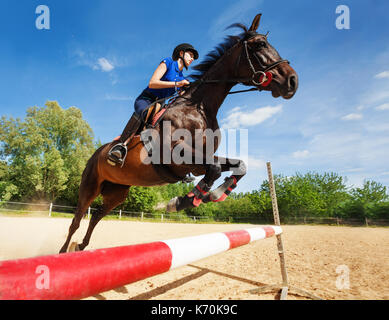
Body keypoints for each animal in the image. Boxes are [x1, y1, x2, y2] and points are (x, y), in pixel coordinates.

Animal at [59, 14, 298, 252]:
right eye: (260, 45)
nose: (293, 81)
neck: (199, 107)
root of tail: (96, 153)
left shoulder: (198, 161)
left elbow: (237, 165)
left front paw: (212, 195)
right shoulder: (176, 155)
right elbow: (214, 168)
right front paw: (183, 201)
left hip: (117, 192)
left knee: (96, 216)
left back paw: (81, 247)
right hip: (89, 186)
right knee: (77, 220)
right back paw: (64, 251)